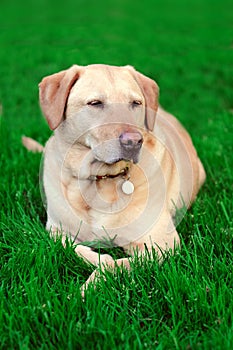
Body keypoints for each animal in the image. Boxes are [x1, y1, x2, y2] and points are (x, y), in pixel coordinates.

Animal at [22, 64, 206, 292]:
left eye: (136, 103)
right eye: (95, 103)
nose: (133, 141)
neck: (99, 179)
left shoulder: (162, 242)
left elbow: (114, 265)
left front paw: (87, 288)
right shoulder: (56, 230)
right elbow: (75, 248)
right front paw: (98, 259)